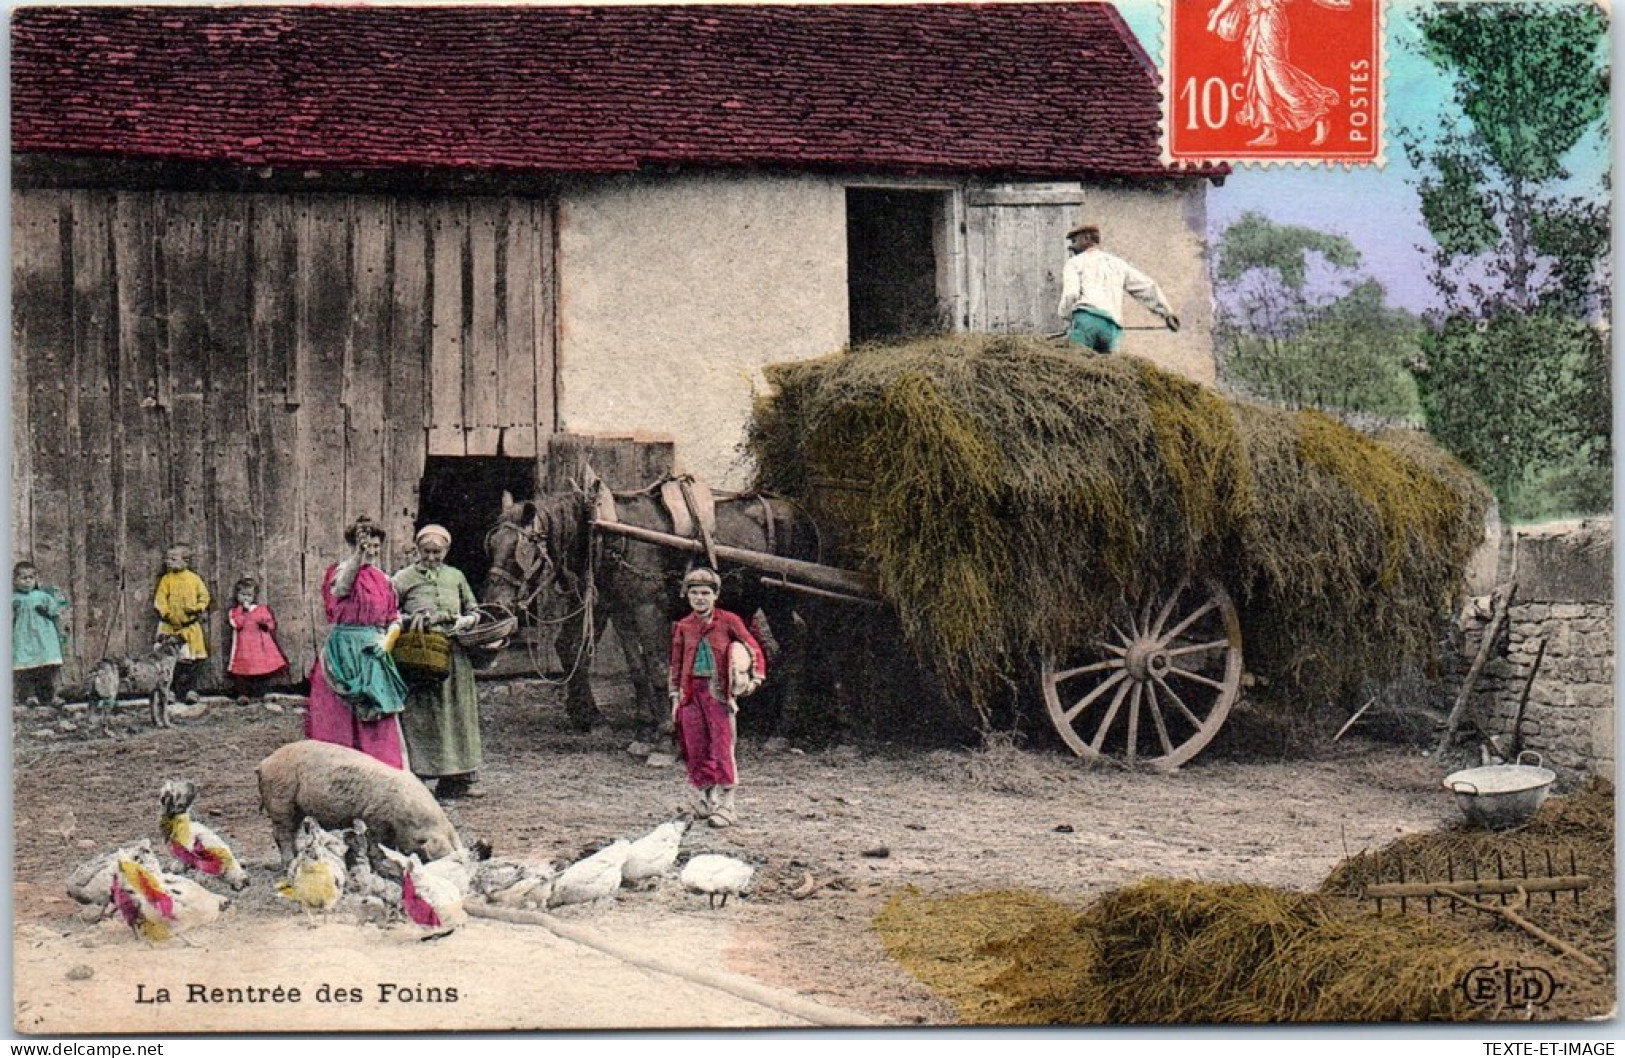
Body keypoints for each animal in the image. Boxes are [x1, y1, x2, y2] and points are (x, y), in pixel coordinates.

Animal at [256, 744, 464, 871]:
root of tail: (264, 763)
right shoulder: (375, 816)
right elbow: (377, 841)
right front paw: (381, 863)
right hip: (280, 798)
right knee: (282, 833)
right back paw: (288, 863)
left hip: (295, 807)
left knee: (291, 831)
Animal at [481, 474, 832, 741]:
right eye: (492, 544)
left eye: (521, 550)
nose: (496, 607)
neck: (608, 530)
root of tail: (801, 513)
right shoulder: (620, 609)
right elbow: (637, 667)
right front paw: (644, 727)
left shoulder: (648, 609)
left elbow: (657, 665)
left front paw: (665, 732)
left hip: (779, 599)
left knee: (796, 641)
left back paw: (782, 730)